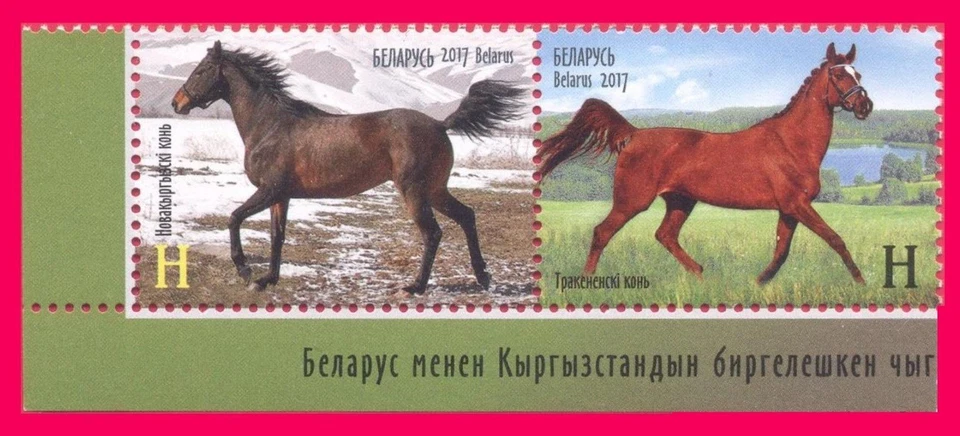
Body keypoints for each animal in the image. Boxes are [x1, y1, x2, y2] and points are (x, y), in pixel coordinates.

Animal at [171, 41, 525, 294]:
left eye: (202, 69)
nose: (177, 103)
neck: (271, 125)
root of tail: (440, 124)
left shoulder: (269, 190)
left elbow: (234, 218)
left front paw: (245, 270)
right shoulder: (281, 197)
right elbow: (277, 236)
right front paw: (266, 279)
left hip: (415, 191)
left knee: (433, 233)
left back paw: (415, 287)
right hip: (436, 190)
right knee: (466, 216)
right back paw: (483, 277)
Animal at [536, 43, 874, 285]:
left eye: (858, 75)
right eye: (838, 75)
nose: (865, 106)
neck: (791, 143)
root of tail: (634, 134)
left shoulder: (789, 209)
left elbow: (781, 251)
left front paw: (758, 283)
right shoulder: (797, 205)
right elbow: (835, 239)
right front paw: (860, 282)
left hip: (680, 201)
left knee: (665, 235)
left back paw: (700, 273)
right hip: (632, 201)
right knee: (602, 232)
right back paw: (587, 281)